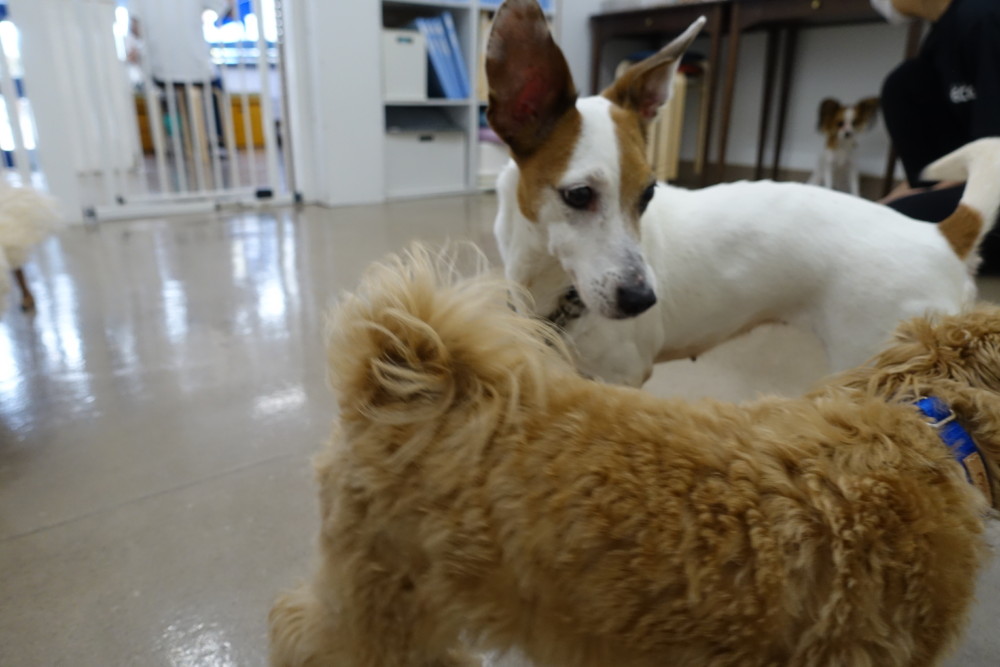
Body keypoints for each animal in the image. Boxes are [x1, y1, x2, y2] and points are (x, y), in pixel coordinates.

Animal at [487, 0, 1000, 387]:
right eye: (579, 195)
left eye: (649, 193)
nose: (642, 300)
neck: (550, 280)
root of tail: (938, 236)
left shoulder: (620, 379)